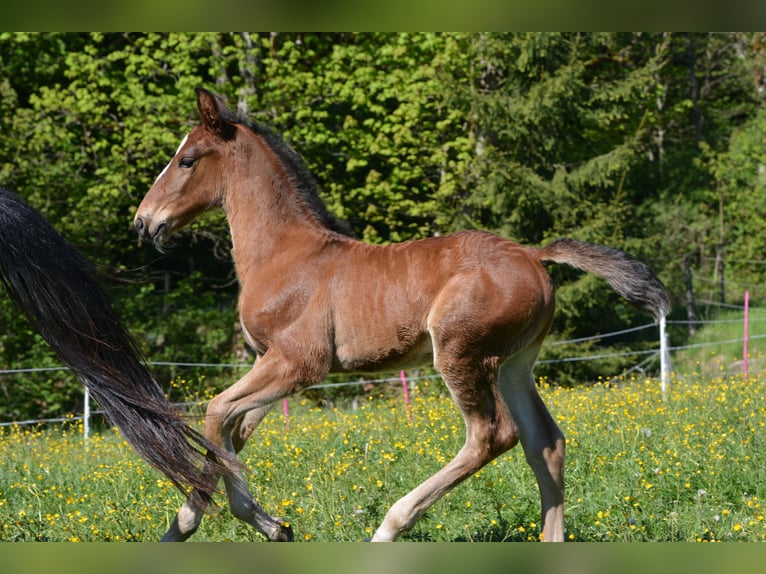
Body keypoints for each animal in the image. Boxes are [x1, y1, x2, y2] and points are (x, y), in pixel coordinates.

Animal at [134, 88, 670, 542]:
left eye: (186, 160)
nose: (143, 221)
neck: (286, 253)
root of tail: (533, 255)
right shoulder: (272, 364)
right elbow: (231, 432)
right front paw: (183, 527)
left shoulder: (299, 363)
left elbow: (215, 411)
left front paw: (262, 522)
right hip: (515, 364)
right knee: (546, 442)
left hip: (461, 353)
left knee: (492, 435)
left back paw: (390, 526)